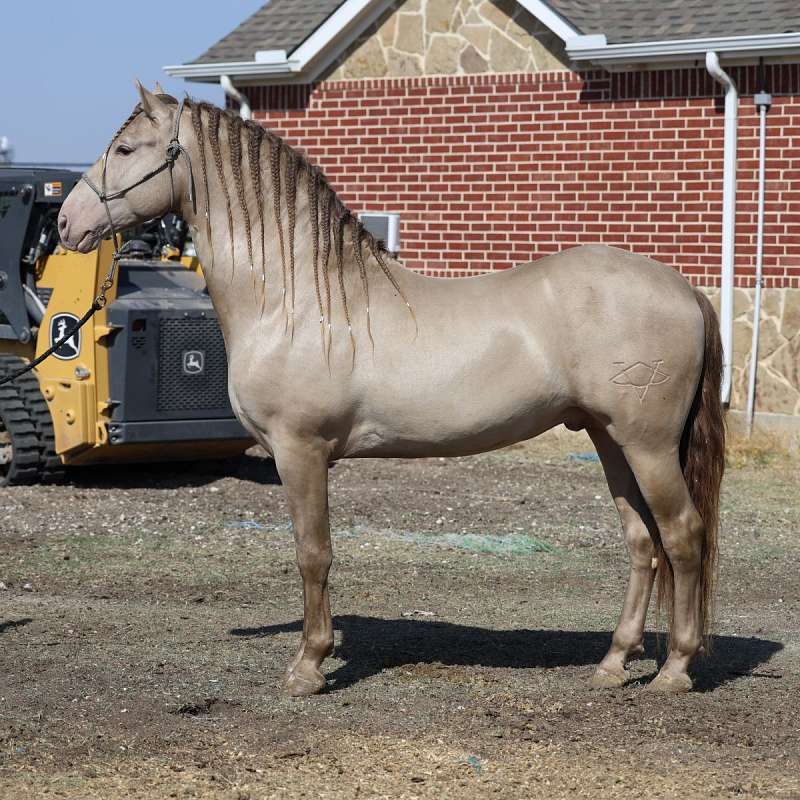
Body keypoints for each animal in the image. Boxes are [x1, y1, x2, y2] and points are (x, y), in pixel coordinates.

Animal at [58, 83, 725, 697]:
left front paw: (308, 667)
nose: (67, 222)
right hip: (611, 441)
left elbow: (313, 553)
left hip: (648, 446)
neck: (297, 300)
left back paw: (675, 670)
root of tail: (685, 289)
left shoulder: (301, 452)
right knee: (643, 542)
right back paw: (613, 664)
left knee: (683, 536)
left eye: (125, 148)